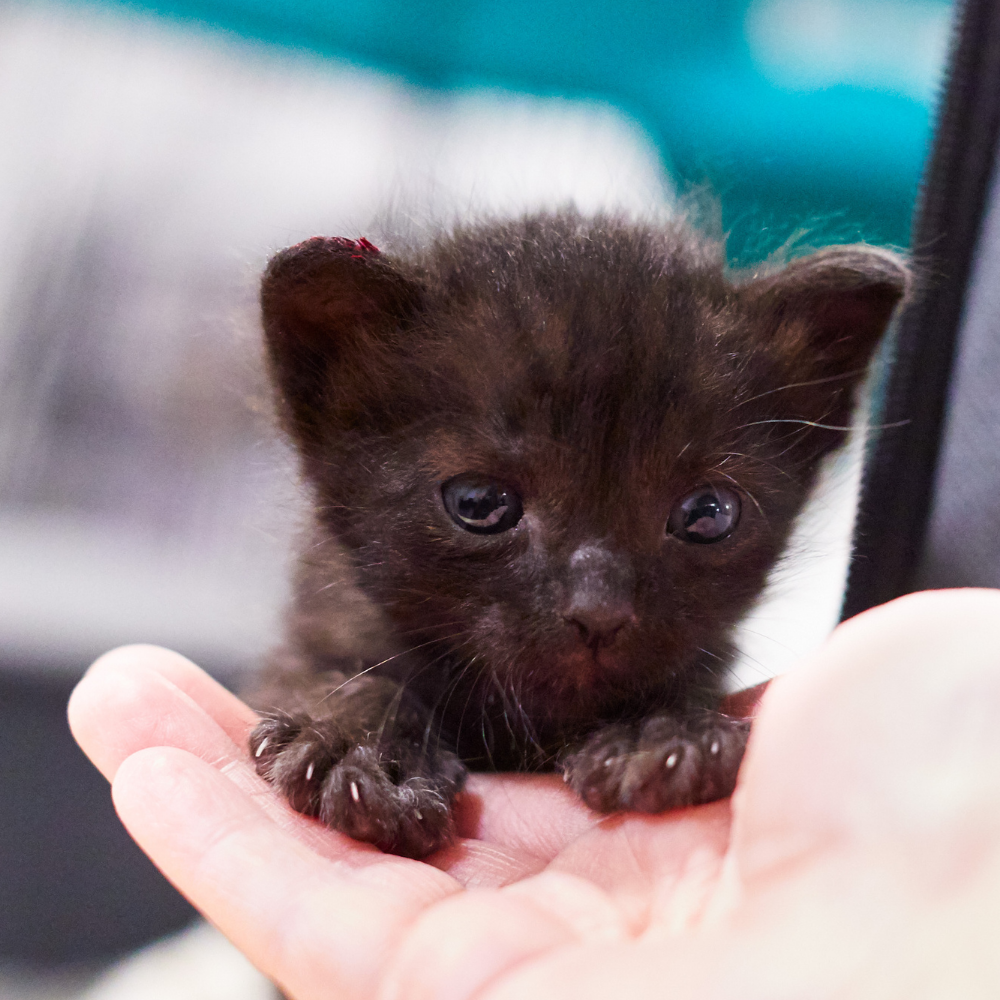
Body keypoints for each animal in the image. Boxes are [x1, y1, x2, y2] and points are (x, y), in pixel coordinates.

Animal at [246, 213, 912, 860]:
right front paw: (359, 749)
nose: (599, 613)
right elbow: (353, 679)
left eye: (708, 514)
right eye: (479, 503)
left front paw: (660, 733)